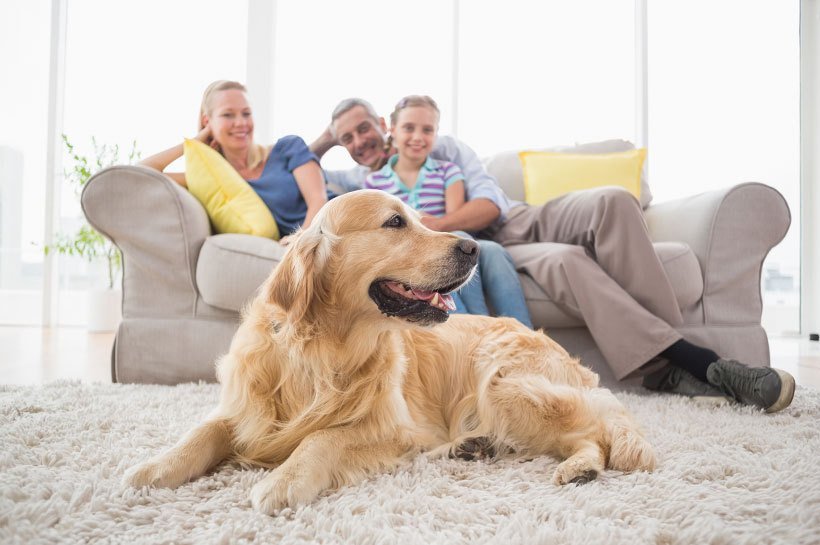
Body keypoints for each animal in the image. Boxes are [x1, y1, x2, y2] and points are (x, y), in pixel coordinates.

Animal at [123, 189, 652, 512]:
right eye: (396, 222)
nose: (473, 248)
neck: (324, 350)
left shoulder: (390, 428)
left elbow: (324, 437)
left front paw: (284, 480)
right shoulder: (245, 408)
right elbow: (202, 432)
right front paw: (154, 467)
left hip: (505, 383)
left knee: (598, 429)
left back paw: (582, 465)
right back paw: (473, 447)